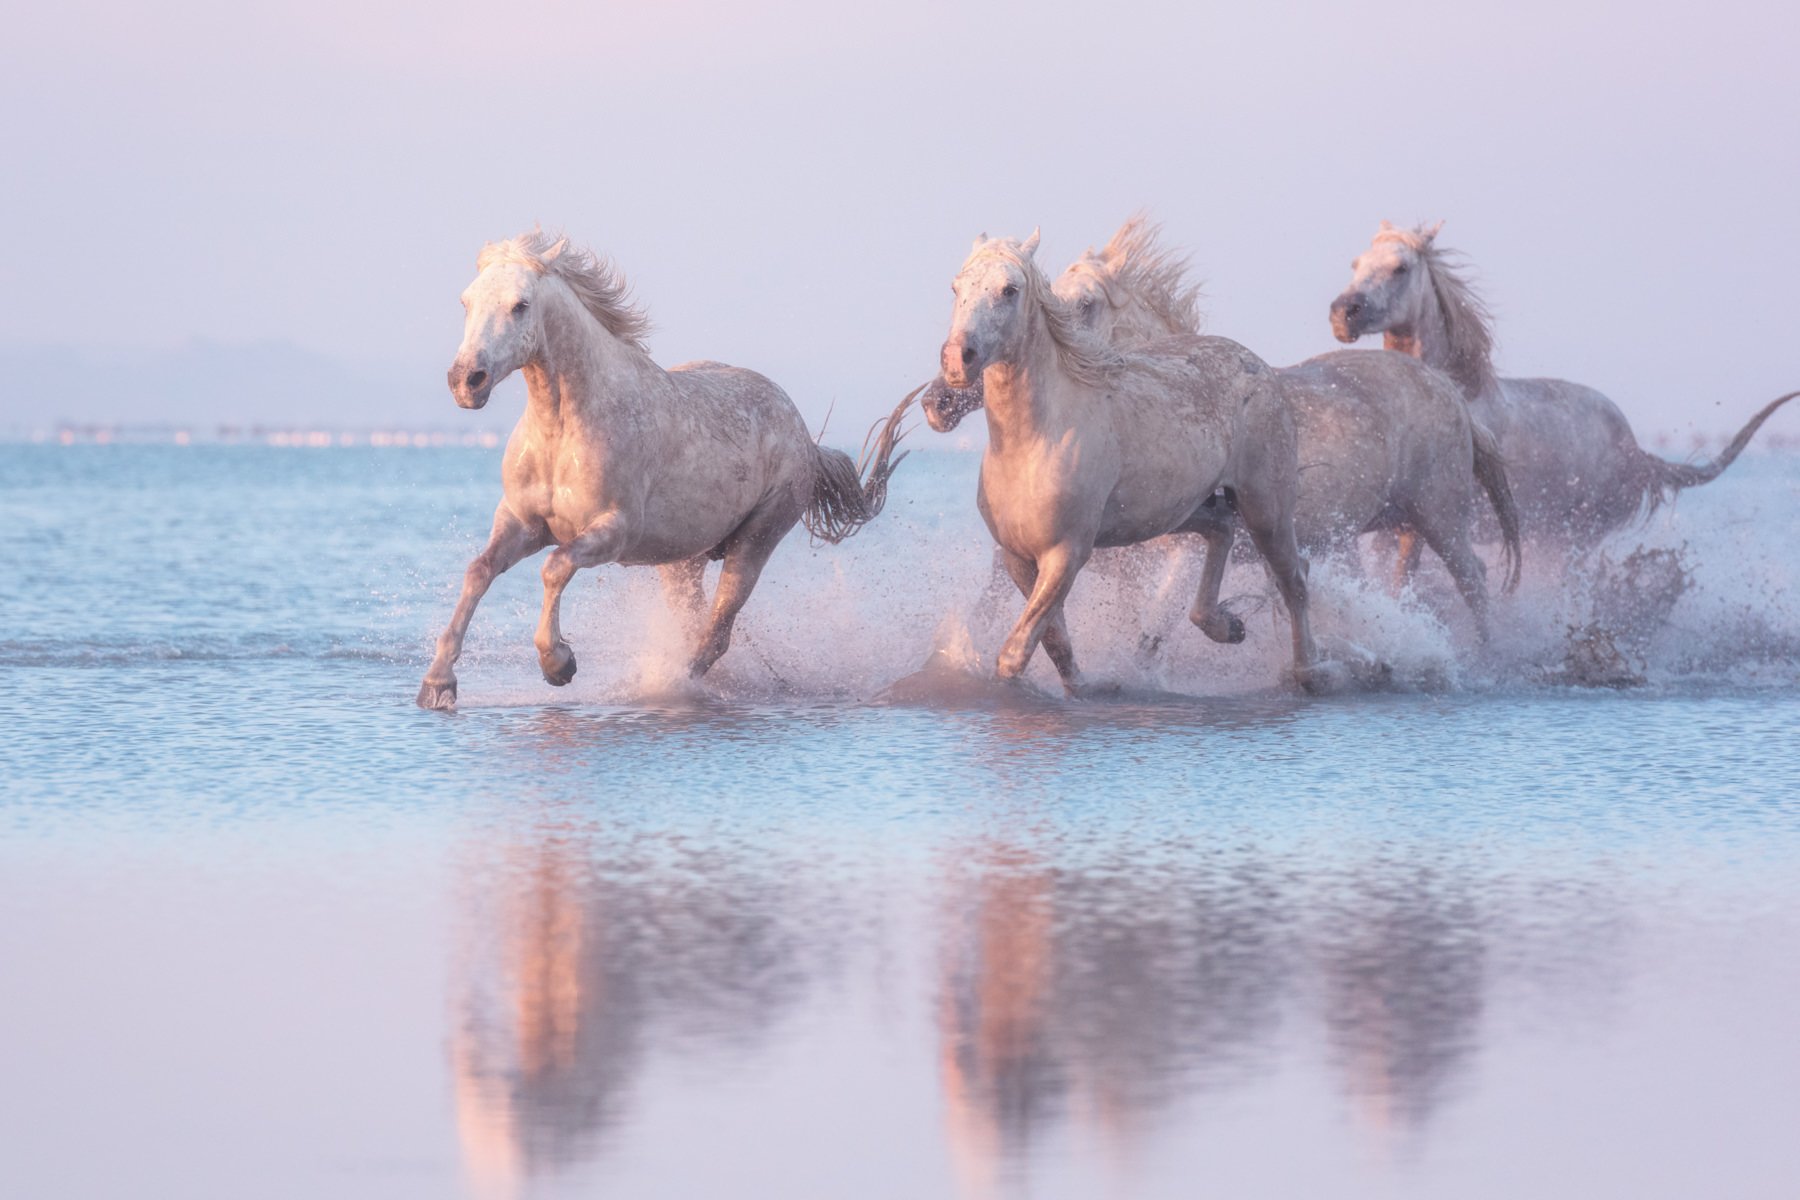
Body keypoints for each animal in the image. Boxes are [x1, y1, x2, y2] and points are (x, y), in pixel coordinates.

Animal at [414, 230, 907, 708]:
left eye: (521, 305)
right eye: (466, 301)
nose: (466, 381)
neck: (562, 431)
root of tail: (803, 434)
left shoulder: (613, 530)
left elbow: (555, 568)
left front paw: (558, 663)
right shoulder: (522, 523)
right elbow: (478, 572)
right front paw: (438, 684)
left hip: (756, 539)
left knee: (716, 632)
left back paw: (674, 684)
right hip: (682, 561)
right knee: (696, 623)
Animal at [936, 232, 1332, 694]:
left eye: (1009, 290)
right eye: (956, 288)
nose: (957, 359)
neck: (1031, 442)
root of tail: (1259, 366)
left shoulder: (1066, 554)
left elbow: (1017, 651)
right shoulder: (1017, 558)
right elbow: (1056, 643)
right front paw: (1083, 689)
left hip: (1265, 506)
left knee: (1293, 580)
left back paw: (1309, 672)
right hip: (1176, 512)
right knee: (1220, 530)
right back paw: (1227, 626)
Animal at [1332, 223, 1792, 564]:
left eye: (1400, 268)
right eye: (1356, 264)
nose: (1342, 313)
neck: (1450, 394)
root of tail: (1636, 452)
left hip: (1573, 538)